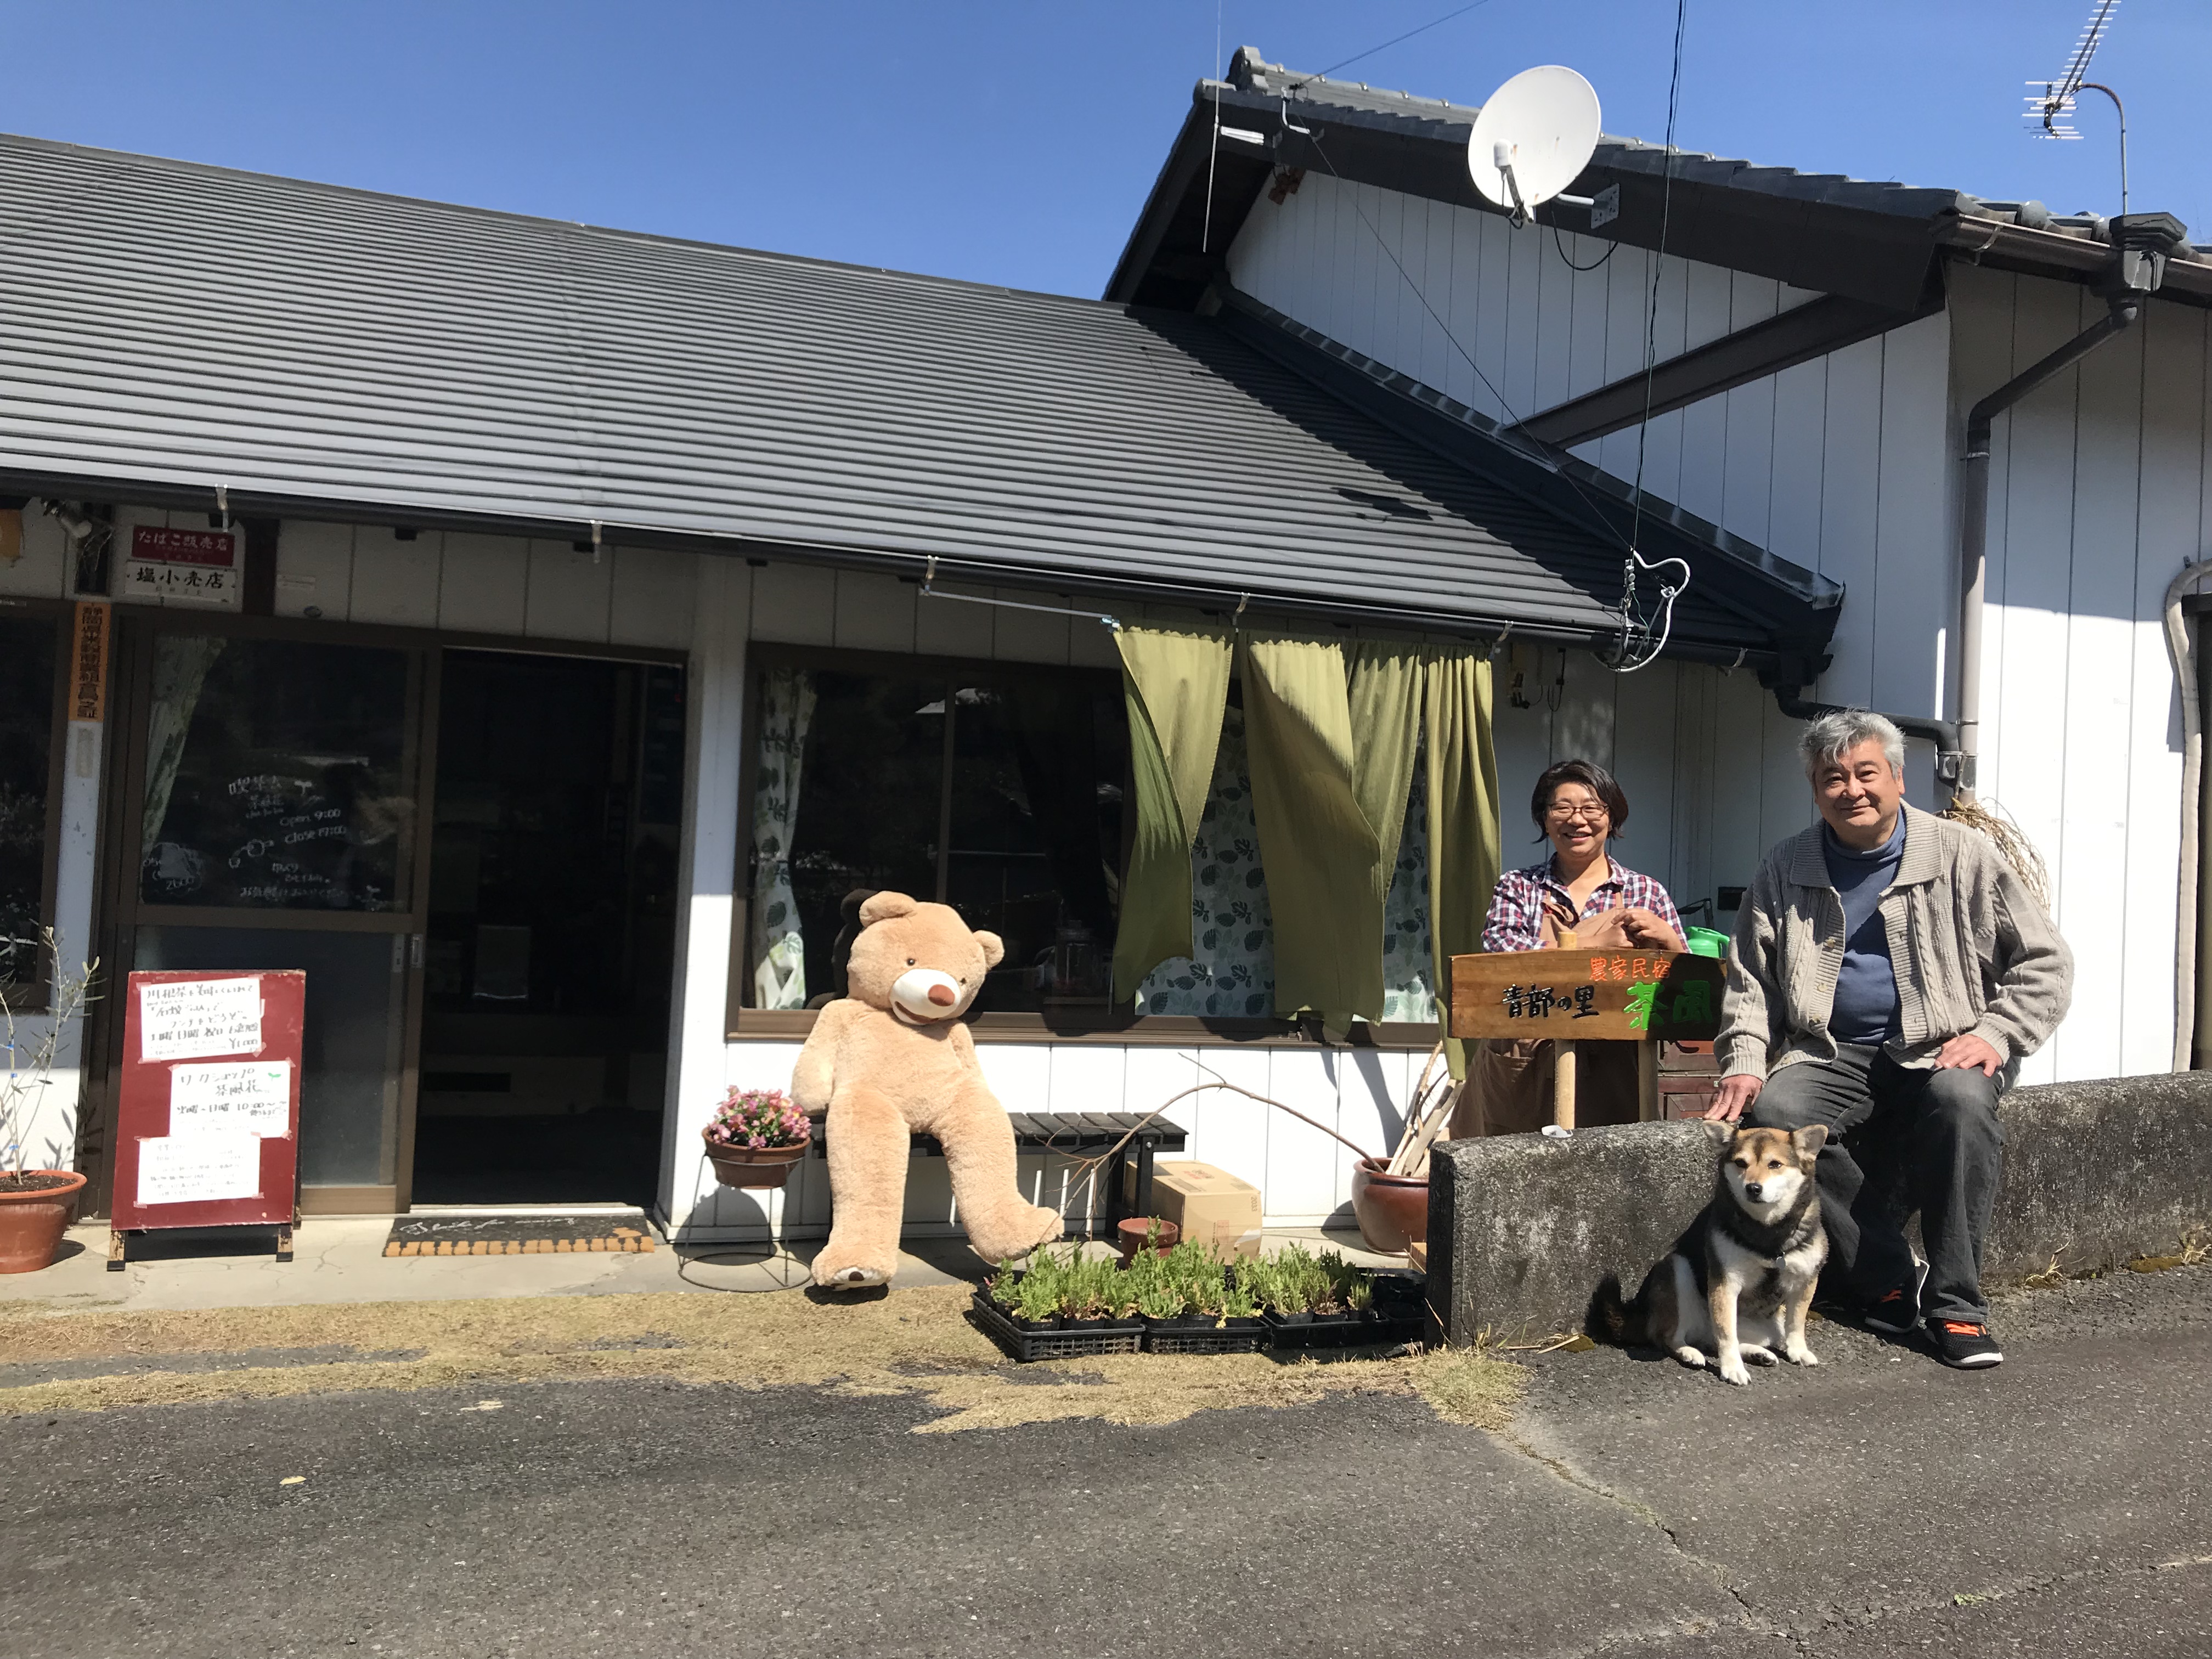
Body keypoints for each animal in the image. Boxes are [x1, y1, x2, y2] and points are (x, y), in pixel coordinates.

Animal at [1593, 1124, 1831, 1380]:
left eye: (1775, 1164)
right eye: (1741, 1163)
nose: (1753, 1188)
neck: (1766, 1232)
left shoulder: (1806, 1279)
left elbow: (1796, 1324)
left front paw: (1799, 1351)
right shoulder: (1725, 1281)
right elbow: (1726, 1334)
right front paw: (1732, 1368)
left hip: (1768, 1326)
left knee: (1720, 1341)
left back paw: (1758, 1354)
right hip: (1677, 1271)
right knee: (1671, 1337)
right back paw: (1689, 1352)